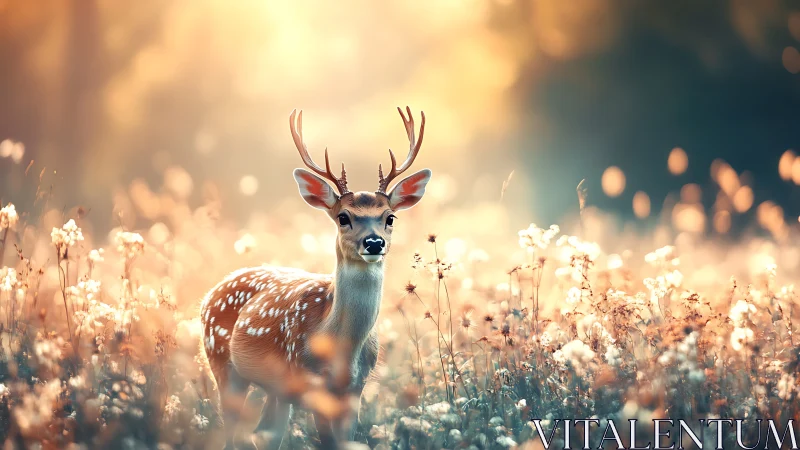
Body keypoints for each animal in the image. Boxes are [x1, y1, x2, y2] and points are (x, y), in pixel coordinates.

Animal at [200, 106, 432, 450]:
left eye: (390, 217)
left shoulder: (356, 388)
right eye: (343, 217)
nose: (374, 243)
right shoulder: (311, 384)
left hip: (277, 390)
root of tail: (208, 295)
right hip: (222, 363)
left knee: (264, 433)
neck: (340, 348)